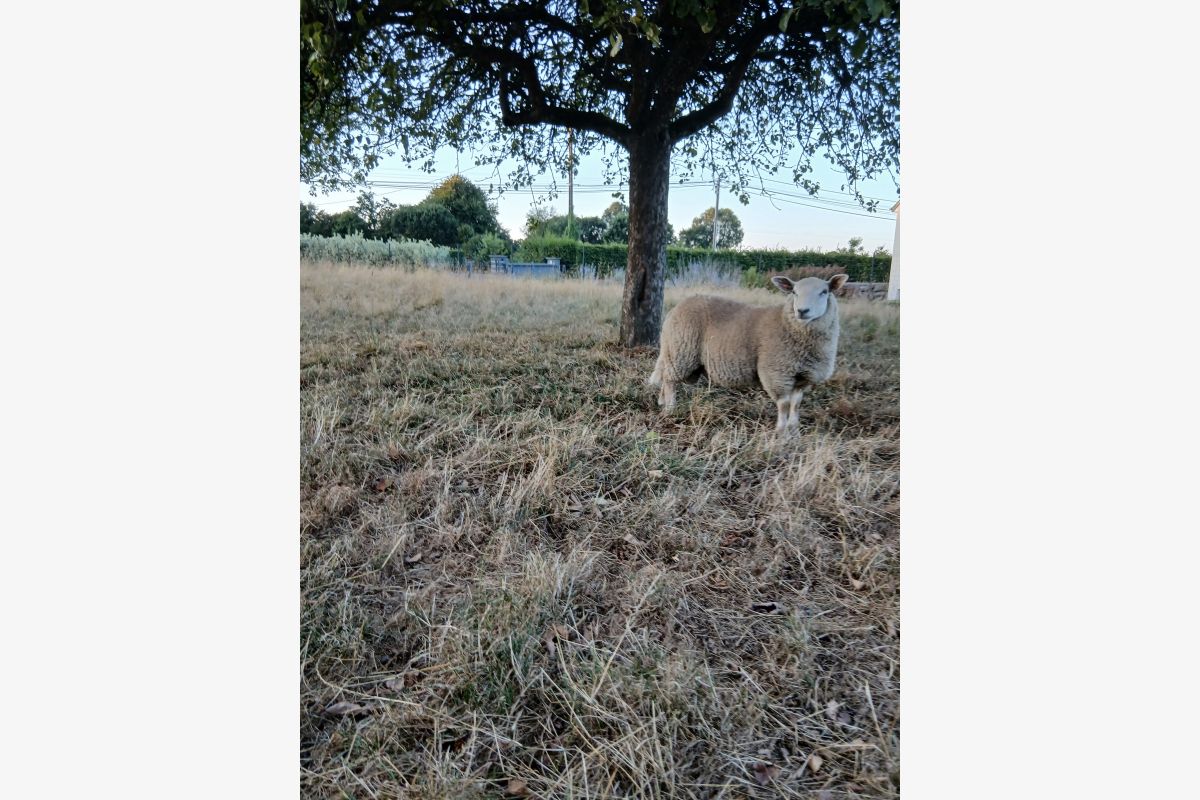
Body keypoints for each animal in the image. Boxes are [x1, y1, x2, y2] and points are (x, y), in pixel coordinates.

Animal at [647, 274, 849, 430]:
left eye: (824, 292)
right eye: (794, 292)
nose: (802, 311)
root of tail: (674, 310)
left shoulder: (802, 377)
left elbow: (796, 404)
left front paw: (794, 430)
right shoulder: (777, 373)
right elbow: (784, 405)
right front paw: (781, 433)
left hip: (675, 352)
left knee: (666, 377)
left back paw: (662, 402)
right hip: (681, 352)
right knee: (670, 380)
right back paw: (670, 409)